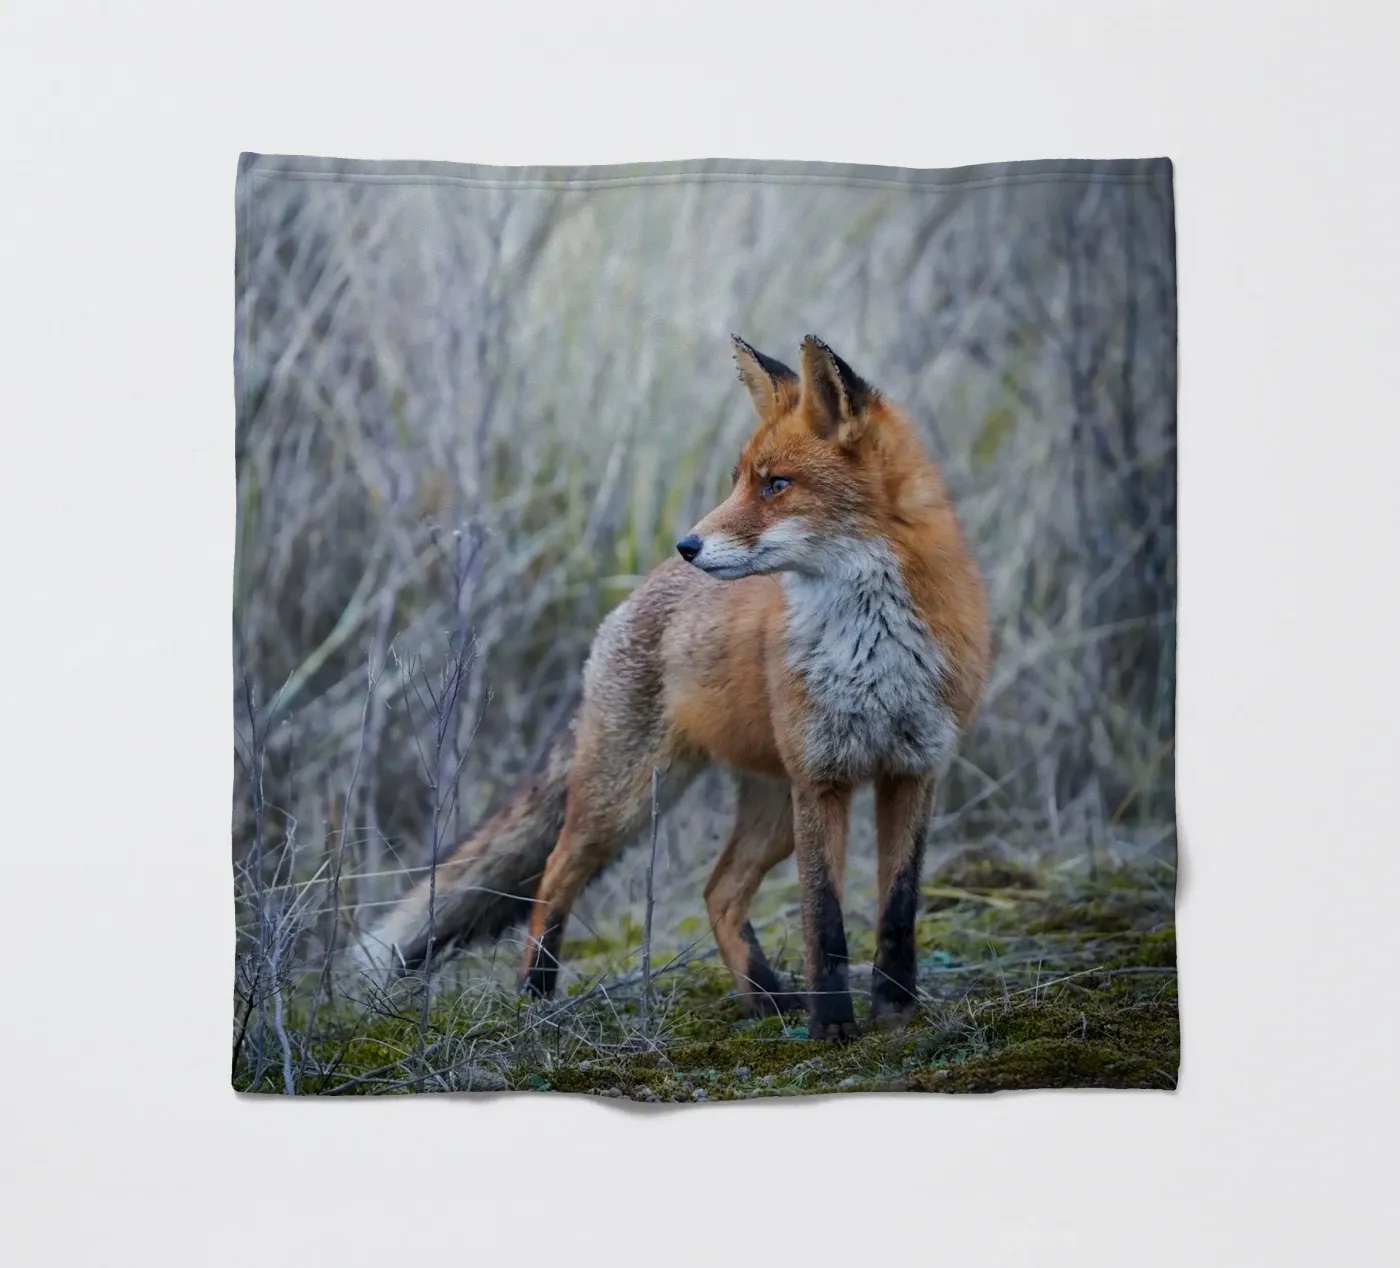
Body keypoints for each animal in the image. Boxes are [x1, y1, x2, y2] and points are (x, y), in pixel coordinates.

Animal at [357, 335, 990, 1039]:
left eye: (776, 484)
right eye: (740, 480)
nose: (688, 543)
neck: (870, 645)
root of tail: (637, 593)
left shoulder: (913, 768)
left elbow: (898, 911)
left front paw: (897, 1013)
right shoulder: (822, 778)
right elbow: (824, 921)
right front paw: (832, 1028)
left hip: (771, 809)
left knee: (719, 891)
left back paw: (766, 998)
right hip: (628, 798)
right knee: (555, 872)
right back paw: (536, 996)